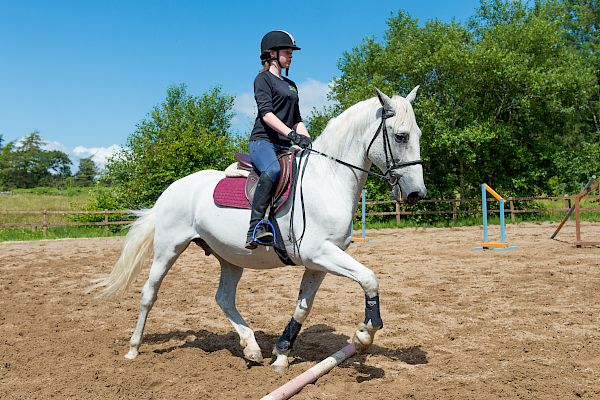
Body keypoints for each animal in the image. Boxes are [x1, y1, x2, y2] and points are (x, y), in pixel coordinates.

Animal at [91, 86, 424, 372]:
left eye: (417, 134)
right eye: (401, 136)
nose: (416, 194)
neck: (328, 179)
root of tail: (172, 189)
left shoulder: (319, 262)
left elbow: (303, 306)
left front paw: (281, 354)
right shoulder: (320, 253)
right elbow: (369, 278)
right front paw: (364, 335)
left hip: (230, 256)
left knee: (224, 298)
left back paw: (251, 347)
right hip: (168, 248)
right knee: (150, 293)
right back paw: (133, 348)